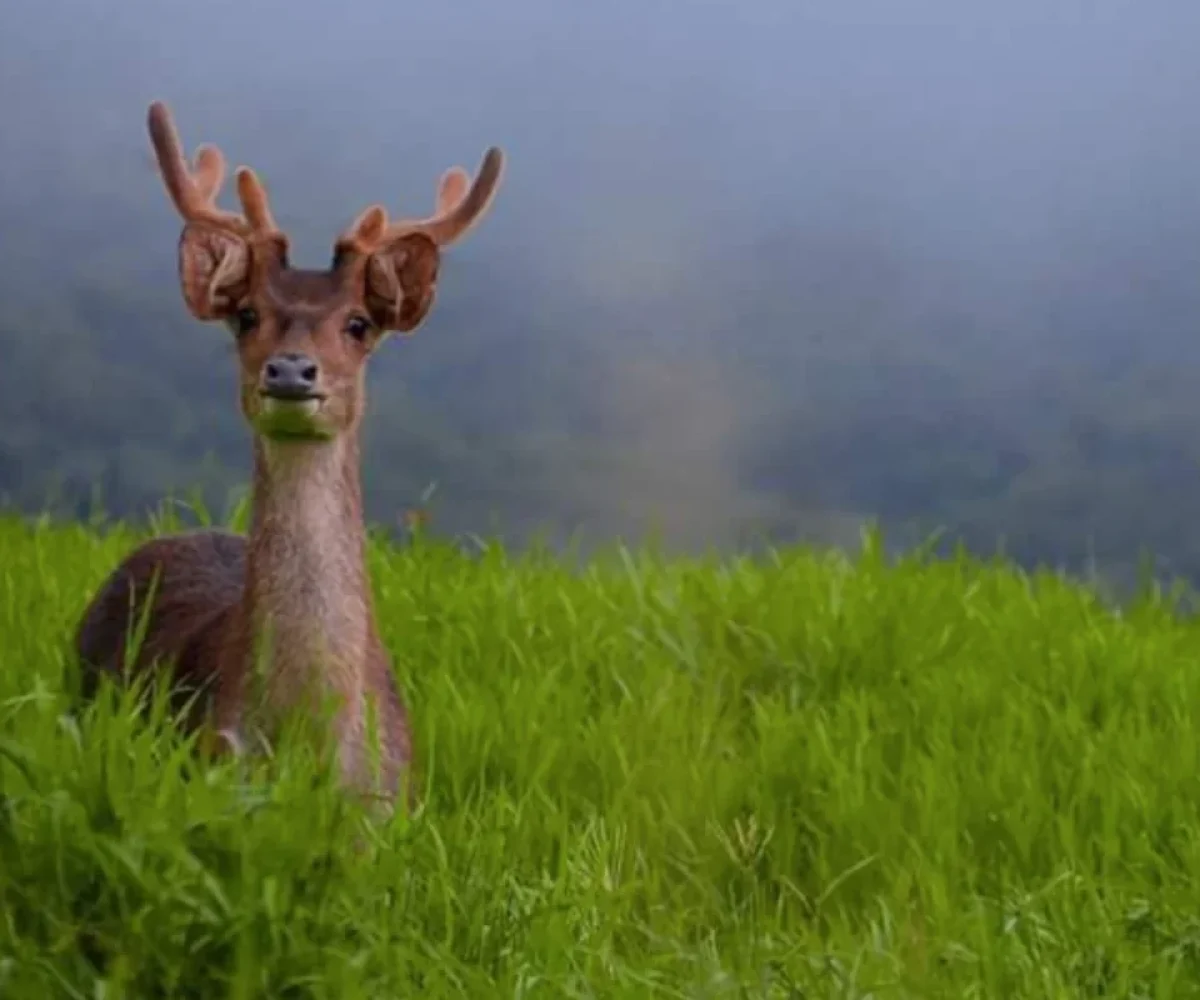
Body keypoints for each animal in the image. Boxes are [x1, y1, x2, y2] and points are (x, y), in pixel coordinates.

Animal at [74, 100, 504, 808]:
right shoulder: (207, 756)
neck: (309, 745)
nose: (291, 370)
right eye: (247, 314)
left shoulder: (396, 801)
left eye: (358, 323)